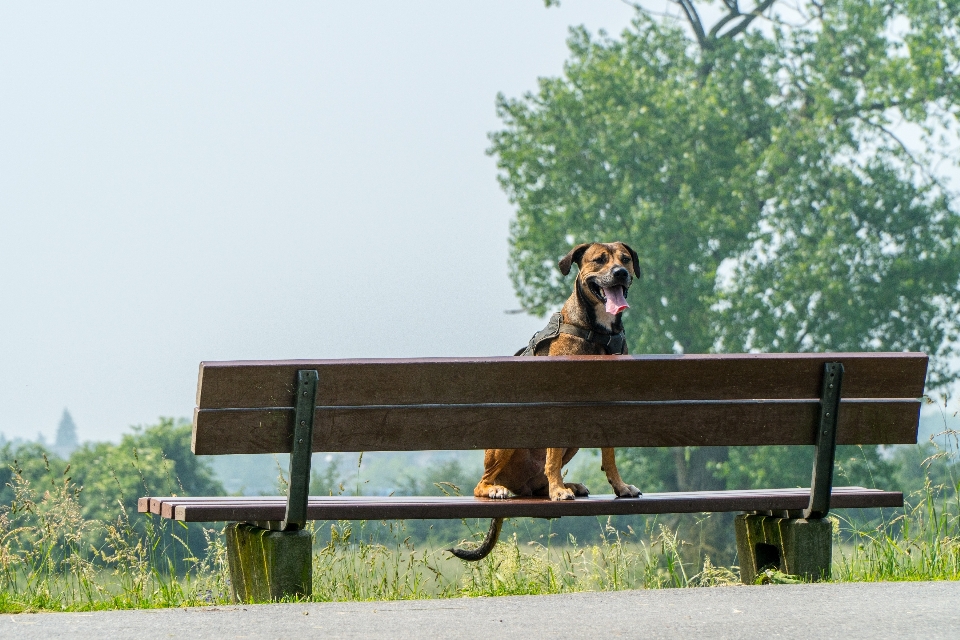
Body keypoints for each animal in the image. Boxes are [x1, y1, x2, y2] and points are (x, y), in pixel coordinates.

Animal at [452, 241, 644, 560]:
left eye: (625, 259)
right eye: (599, 260)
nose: (620, 273)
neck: (598, 332)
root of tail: (520, 487)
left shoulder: (608, 408)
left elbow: (609, 457)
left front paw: (619, 486)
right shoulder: (558, 403)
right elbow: (552, 456)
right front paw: (558, 491)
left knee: (538, 481)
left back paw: (566, 485)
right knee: (481, 483)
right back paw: (498, 489)